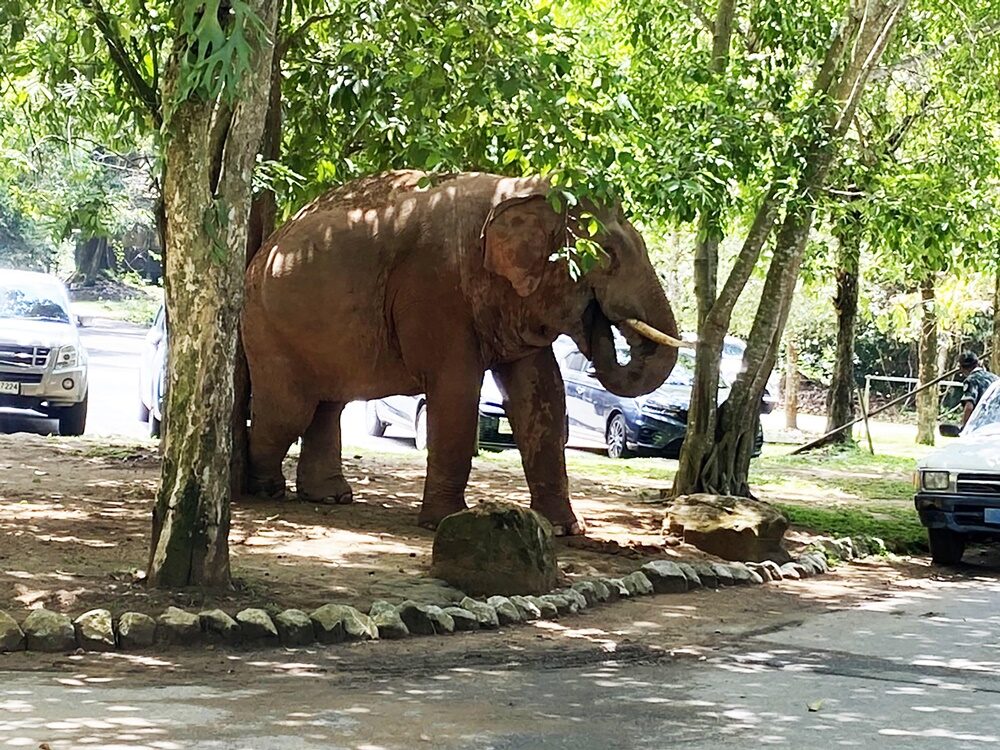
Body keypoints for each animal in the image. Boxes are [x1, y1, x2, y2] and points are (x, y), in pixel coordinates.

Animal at [242, 170, 680, 536]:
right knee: (289, 411)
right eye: (608, 254)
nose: (597, 319)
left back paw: (330, 497)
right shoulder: (434, 286)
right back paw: (264, 489)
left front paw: (564, 529)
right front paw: (443, 522)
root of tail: (260, 253)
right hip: (265, 326)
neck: (520, 188)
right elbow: (455, 391)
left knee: (327, 405)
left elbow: (542, 395)